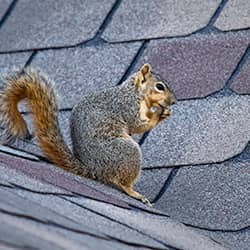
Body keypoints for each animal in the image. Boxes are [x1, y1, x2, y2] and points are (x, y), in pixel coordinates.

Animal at [0, 64, 176, 205]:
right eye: (160, 86)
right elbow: (137, 125)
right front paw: (158, 114)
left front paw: (163, 112)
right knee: (123, 182)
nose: (173, 101)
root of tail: (94, 169)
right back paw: (135, 193)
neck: (134, 92)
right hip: (127, 152)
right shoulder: (127, 106)